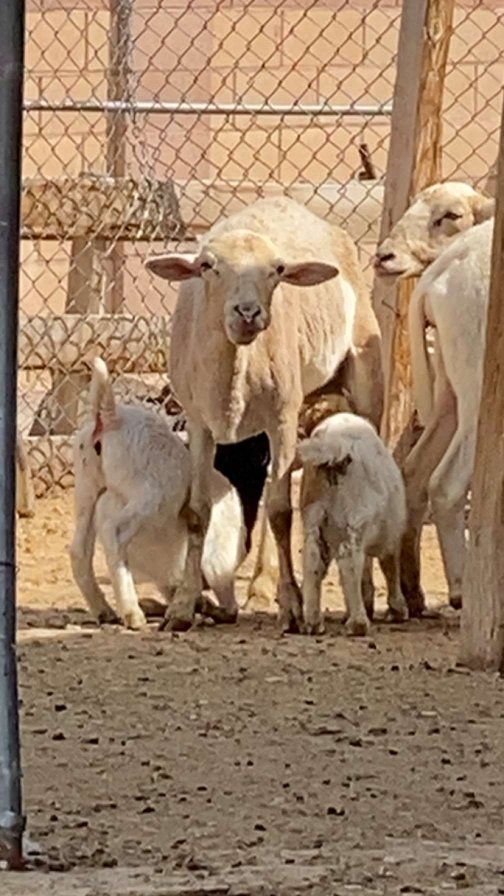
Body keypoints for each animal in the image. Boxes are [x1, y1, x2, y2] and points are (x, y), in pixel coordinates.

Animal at [69, 358, 246, 630]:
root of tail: (110, 418)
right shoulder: (219, 563)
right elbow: (229, 608)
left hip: (87, 487)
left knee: (79, 550)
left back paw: (105, 610)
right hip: (151, 496)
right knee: (115, 532)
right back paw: (132, 613)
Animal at [145, 196, 383, 633]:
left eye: (277, 270)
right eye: (207, 266)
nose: (248, 312)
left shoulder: (282, 417)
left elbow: (280, 513)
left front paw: (293, 607)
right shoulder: (200, 423)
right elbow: (197, 511)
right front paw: (182, 608)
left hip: (365, 378)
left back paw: (369, 596)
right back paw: (260, 584)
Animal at [299, 413, 408, 636]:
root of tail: (333, 442)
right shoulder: (390, 539)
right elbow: (390, 566)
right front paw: (397, 609)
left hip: (313, 516)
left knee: (312, 559)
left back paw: (314, 621)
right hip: (357, 518)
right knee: (349, 561)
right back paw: (358, 623)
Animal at [374, 181, 494, 615]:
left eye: (451, 215)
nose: (384, 256)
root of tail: (439, 276)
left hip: (450, 391)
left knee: (412, 473)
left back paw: (407, 594)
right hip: (477, 391)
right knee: (444, 484)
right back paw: (460, 591)